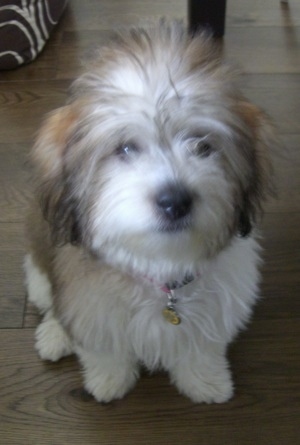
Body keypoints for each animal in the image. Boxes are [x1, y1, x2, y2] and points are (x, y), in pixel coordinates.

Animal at [24, 22, 274, 404]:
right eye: (126, 148)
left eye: (203, 146)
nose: (176, 200)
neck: (163, 270)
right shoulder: (92, 305)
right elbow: (102, 345)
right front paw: (108, 380)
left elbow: (203, 346)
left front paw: (205, 380)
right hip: (38, 271)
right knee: (53, 304)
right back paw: (54, 334)